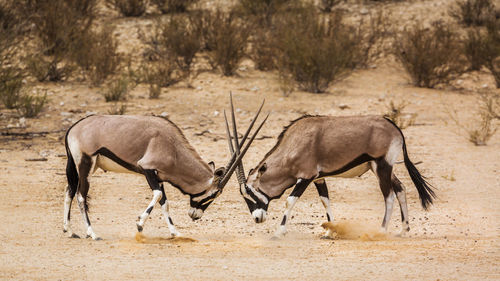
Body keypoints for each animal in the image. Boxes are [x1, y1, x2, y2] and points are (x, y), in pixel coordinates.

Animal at [64, 107, 268, 238]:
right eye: (213, 195)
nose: (194, 215)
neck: (173, 148)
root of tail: (73, 128)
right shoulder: (148, 168)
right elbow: (158, 195)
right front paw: (139, 223)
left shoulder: (159, 176)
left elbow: (165, 203)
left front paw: (175, 232)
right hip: (85, 164)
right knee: (81, 196)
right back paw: (92, 233)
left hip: (82, 167)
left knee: (70, 191)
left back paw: (70, 231)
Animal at [227, 114, 434, 238]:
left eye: (248, 191)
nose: (257, 218)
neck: (292, 146)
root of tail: (395, 128)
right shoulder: (319, 178)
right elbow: (325, 200)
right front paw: (329, 231)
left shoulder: (306, 177)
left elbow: (290, 201)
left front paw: (279, 232)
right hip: (381, 168)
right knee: (401, 189)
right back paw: (403, 230)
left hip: (381, 166)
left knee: (389, 196)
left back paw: (381, 231)